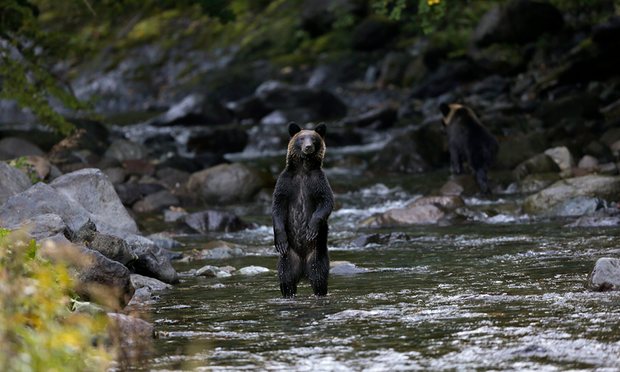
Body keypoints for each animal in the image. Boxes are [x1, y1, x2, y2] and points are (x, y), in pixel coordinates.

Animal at [272, 123, 334, 298]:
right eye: (301, 138)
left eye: (313, 138)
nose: (308, 147)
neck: (303, 170)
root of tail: (302, 269)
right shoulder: (285, 183)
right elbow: (277, 207)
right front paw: (280, 239)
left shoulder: (318, 182)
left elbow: (326, 202)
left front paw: (311, 229)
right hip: (287, 258)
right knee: (286, 280)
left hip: (317, 255)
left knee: (319, 278)